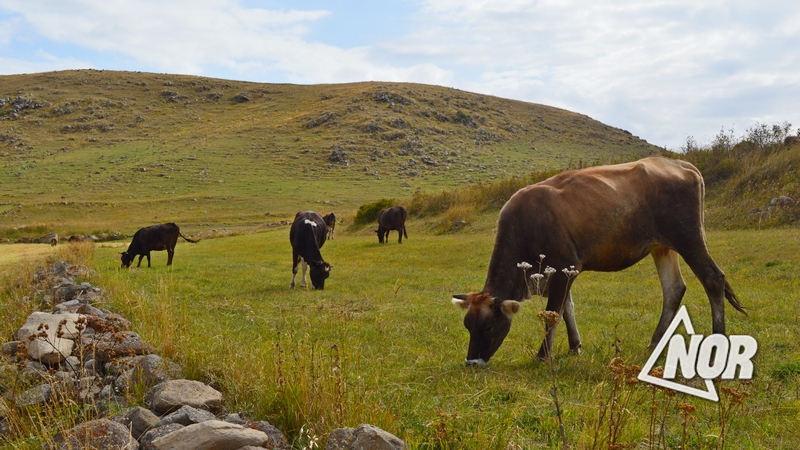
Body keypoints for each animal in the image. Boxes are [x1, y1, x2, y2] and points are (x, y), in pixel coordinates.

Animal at [454, 157, 748, 366]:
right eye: (467, 325)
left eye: (488, 326)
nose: (472, 362)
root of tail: (679, 163)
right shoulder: (560, 272)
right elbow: (567, 309)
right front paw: (574, 346)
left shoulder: (563, 268)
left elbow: (553, 314)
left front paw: (542, 356)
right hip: (662, 246)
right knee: (674, 289)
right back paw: (654, 344)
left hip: (689, 238)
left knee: (713, 279)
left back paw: (717, 342)